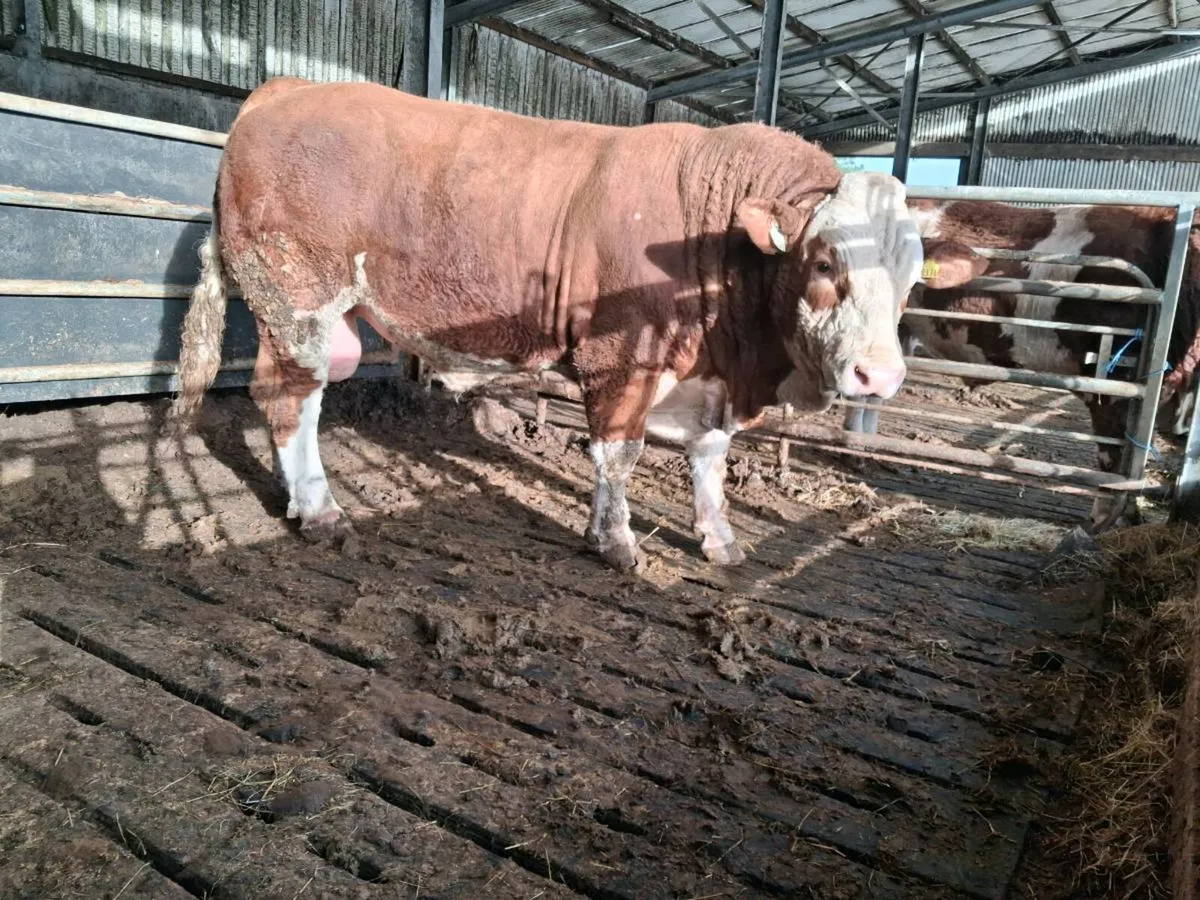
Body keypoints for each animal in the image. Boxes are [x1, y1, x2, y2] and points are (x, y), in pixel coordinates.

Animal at [170, 77, 961, 571]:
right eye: (825, 261)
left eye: (915, 278)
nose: (879, 376)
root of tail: (289, 88)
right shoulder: (622, 356)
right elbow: (619, 455)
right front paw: (615, 542)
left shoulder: (707, 378)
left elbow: (710, 459)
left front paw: (719, 539)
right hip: (298, 301)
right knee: (289, 400)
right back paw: (322, 511)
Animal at [842, 198, 1200, 529]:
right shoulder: (1112, 380)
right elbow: (1112, 456)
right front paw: (1102, 522)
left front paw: (1131, 518)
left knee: (874, 393)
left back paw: (867, 452)